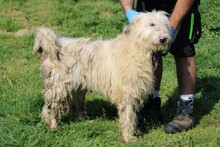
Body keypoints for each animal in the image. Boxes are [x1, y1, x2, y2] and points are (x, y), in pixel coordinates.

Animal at [33, 11, 170, 142]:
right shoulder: (126, 93)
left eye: (165, 25)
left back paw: (83, 120)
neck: (136, 48)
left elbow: (131, 115)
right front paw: (128, 137)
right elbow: (127, 116)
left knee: (74, 105)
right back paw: (53, 126)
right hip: (58, 87)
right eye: (152, 24)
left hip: (76, 86)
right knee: (51, 107)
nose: (164, 38)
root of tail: (52, 45)